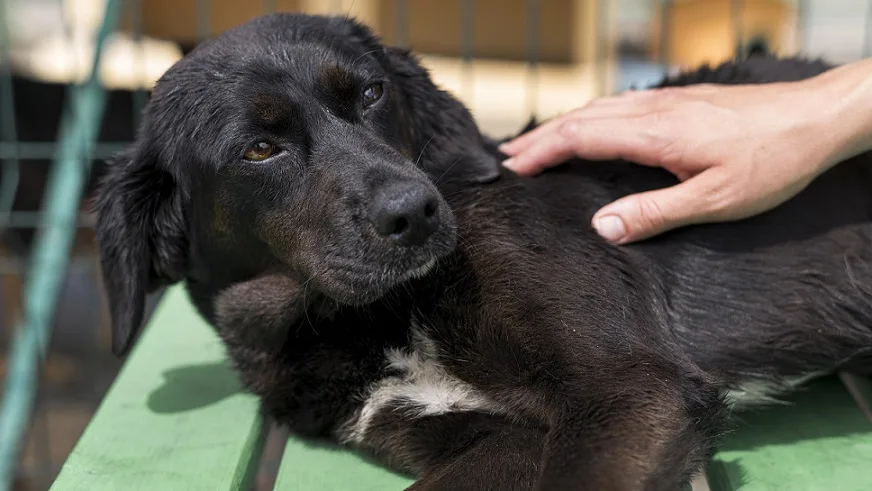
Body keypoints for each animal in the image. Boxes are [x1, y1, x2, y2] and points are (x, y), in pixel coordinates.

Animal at [92, 13, 872, 490]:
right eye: (259, 149)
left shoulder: (629, 389)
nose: (414, 211)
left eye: (371, 93)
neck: (372, 317)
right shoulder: (491, 440)